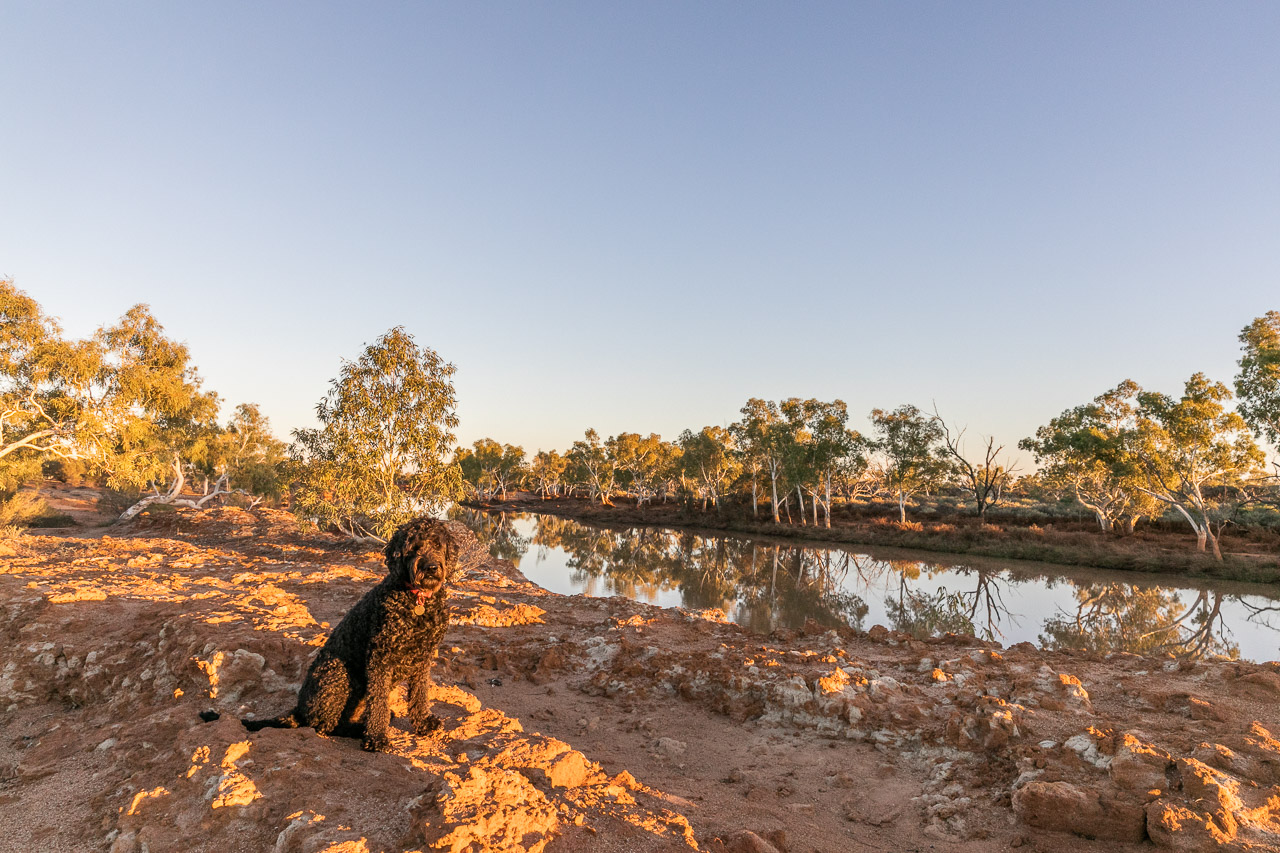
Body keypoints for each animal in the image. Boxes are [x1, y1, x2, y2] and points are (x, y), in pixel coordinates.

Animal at [241, 514, 458, 747]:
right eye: (414, 546)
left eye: (437, 545)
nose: (431, 567)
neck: (417, 601)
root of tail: (299, 710)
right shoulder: (380, 658)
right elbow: (378, 701)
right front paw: (376, 737)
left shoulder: (423, 657)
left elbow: (420, 694)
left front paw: (423, 723)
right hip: (340, 674)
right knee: (327, 726)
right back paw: (360, 730)